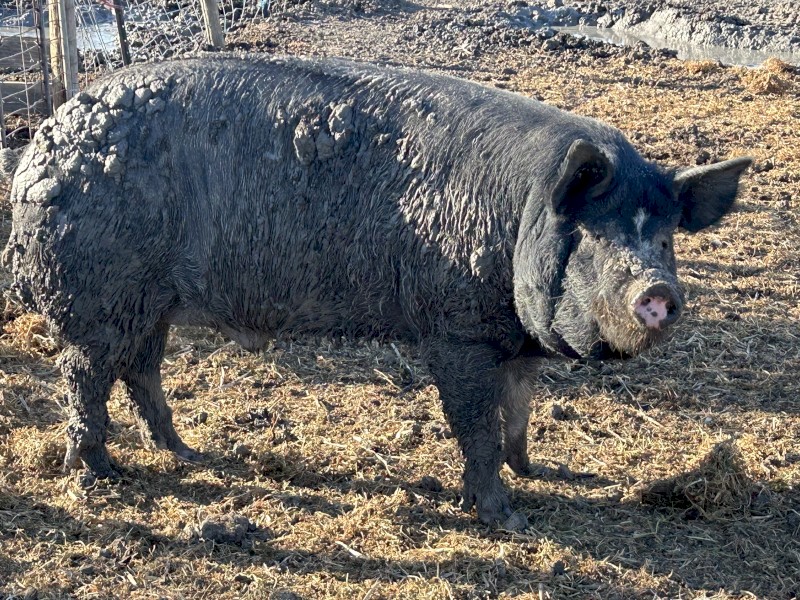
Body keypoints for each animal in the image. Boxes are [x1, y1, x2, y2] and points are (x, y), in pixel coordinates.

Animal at [2, 55, 751, 528]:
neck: (515, 218)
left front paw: (546, 474)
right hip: (96, 295)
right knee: (85, 376)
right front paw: (506, 519)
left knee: (141, 370)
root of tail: (41, 142)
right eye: (595, 236)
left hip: (149, 302)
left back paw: (185, 452)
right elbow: (476, 425)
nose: (658, 292)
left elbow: (519, 411)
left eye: (666, 236)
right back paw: (98, 474)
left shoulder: (514, 339)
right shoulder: (455, 329)